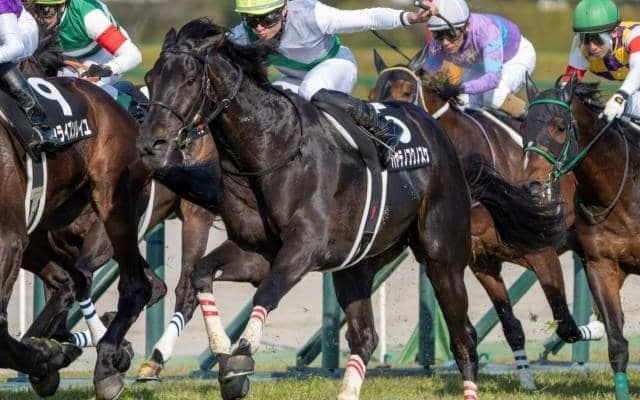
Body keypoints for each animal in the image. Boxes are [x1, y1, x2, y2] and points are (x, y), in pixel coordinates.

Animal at [1, 32, 165, 400]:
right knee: (70, 282)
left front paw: (46, 357)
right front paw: (47, 355)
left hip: (112, 211)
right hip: (46, 231)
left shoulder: (8, 239)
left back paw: (105, 364)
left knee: (135, 284)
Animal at [136, 18, 567, 400]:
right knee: (365, 336)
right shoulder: (257, 250)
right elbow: (201, 275)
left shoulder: (304, 249)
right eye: (152, 78)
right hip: (358, 264)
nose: (151, 145)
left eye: (188, 79)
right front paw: (223, 352)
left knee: (464, 339)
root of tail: (442, 139)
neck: (271, 148)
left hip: (443, 257)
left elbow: (266, 295)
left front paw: (239, 359)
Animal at [370, 48, 605, 389]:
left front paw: (596, 329)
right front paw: (526, 381)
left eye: (405, 91)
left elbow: (567, 325)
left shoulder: (541, 252)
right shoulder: (483, 262)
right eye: (372, 95)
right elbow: (510, 326)